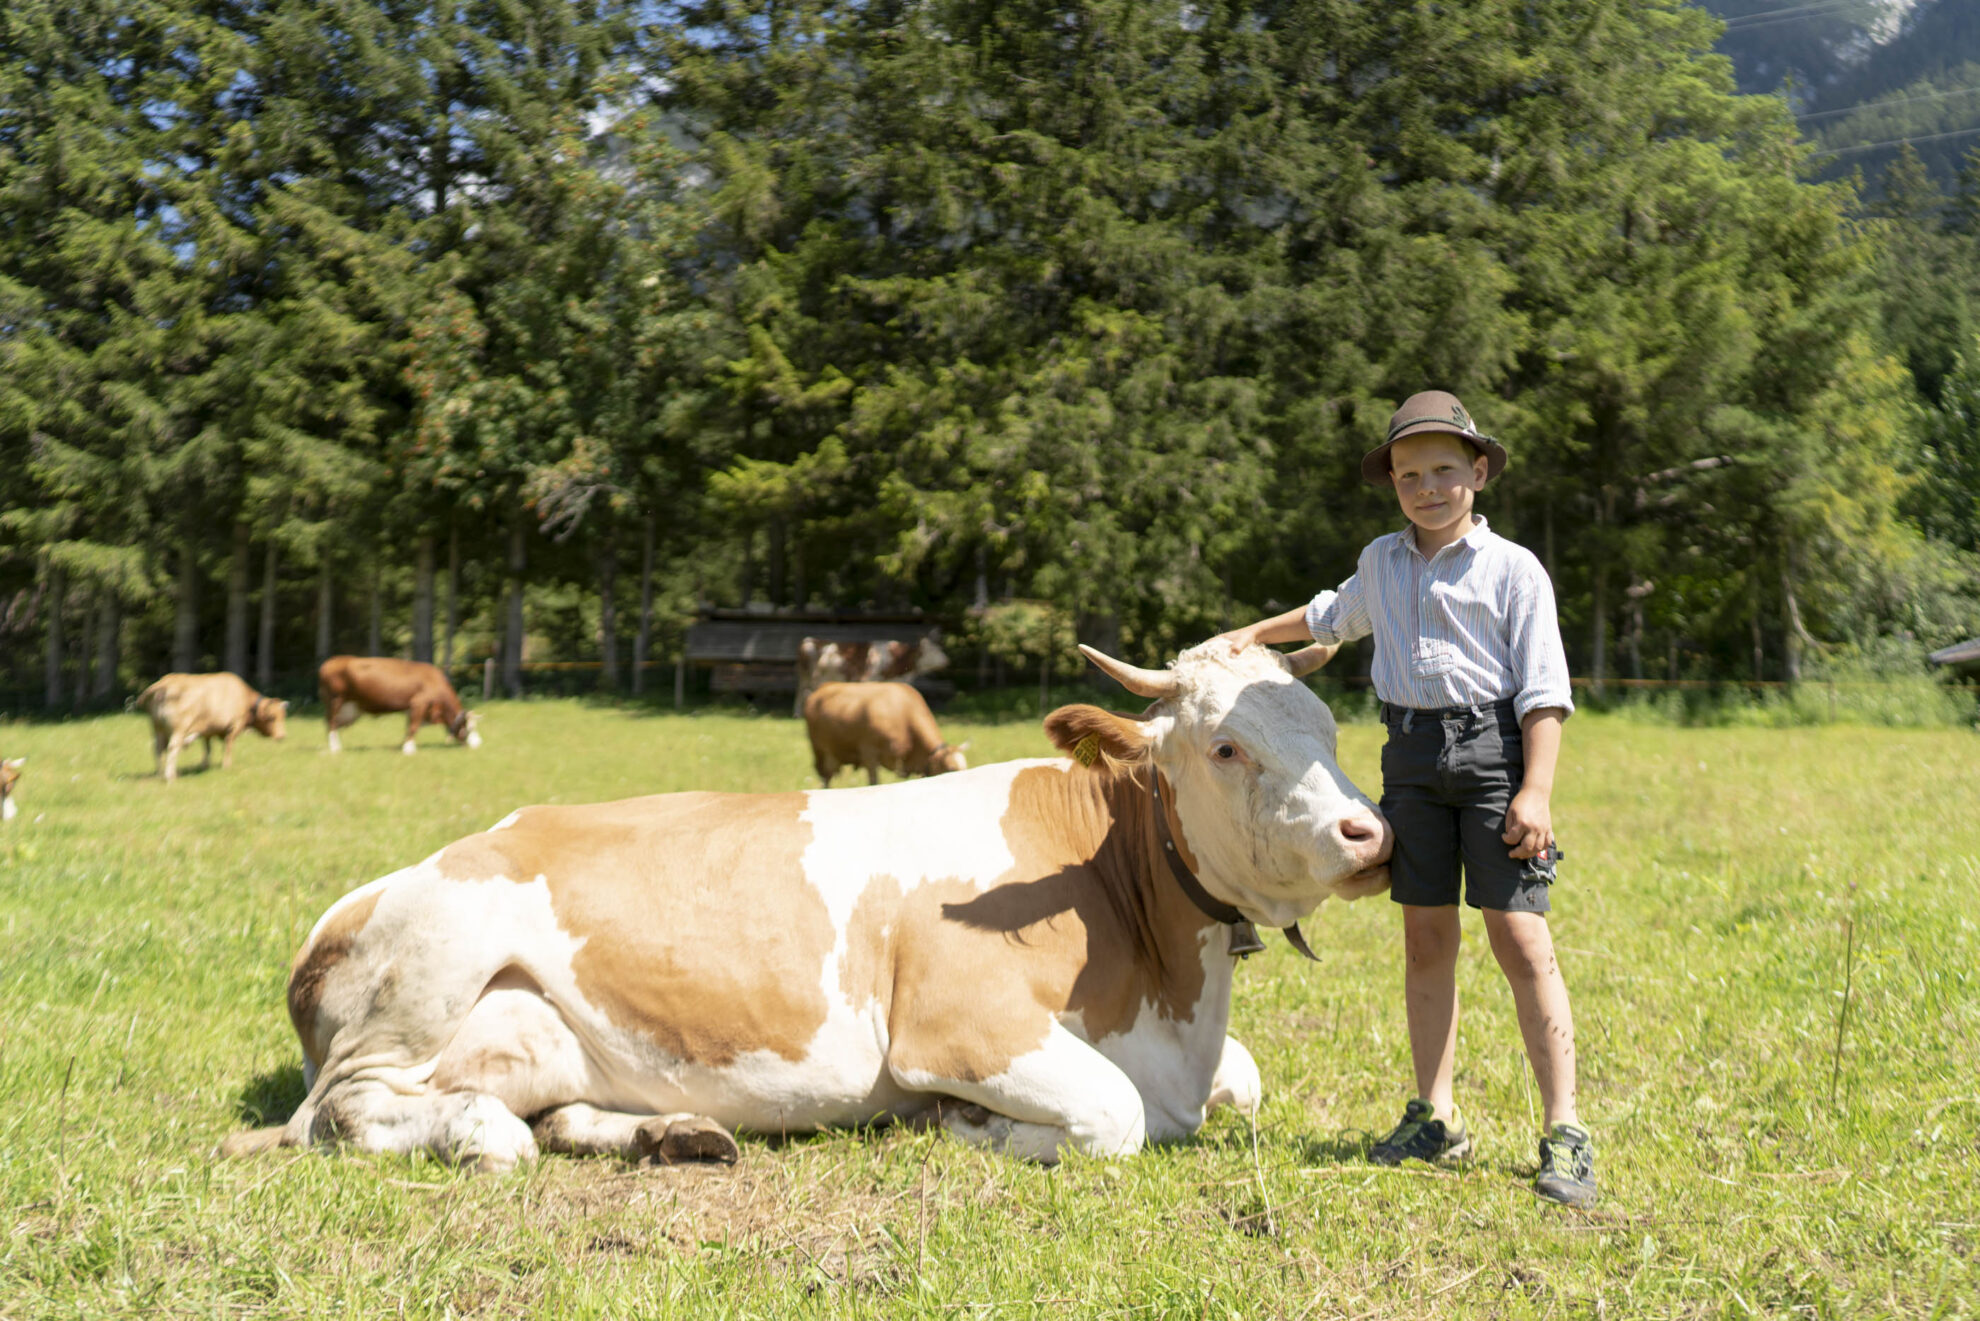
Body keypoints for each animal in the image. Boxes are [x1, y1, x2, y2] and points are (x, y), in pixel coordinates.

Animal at [135, 673, 289, 784]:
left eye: (283, 716)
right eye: (272, 717)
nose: (282, 736)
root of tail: (163, 684)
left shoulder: (207, 730)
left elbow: (207, 749)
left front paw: (205, 766)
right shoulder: (233, 728)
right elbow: (227, 748)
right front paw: (226, 766)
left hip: (157, 728)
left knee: (158, 749)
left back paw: (159, 774)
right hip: (179, 729)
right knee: (172, 748)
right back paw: (170, 776)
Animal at [322, 653, 485, 752]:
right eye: (470, 727)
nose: (478, 744)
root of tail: (331, 662)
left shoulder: (412, 709)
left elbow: (409, 726)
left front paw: (403, 746)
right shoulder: (419, 703)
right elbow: (414, 726)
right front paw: (409, 750)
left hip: (349, 707)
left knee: (335, 724)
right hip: (335, 700)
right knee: (331, 724)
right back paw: (334, 749)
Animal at [792, 633, 946, 716]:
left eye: (939, 648)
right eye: (933, 650)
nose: (947, 660)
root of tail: (809, 640)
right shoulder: (868, 678)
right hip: (807, 677)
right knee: (802, 693)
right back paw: (799, 714)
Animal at [795, 681, 966, 784]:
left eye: (965, 767)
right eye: (951, 769)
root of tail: (824, 687)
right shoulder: (869, 754)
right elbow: (874, 783)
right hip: (820, 750)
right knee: (825, 777)